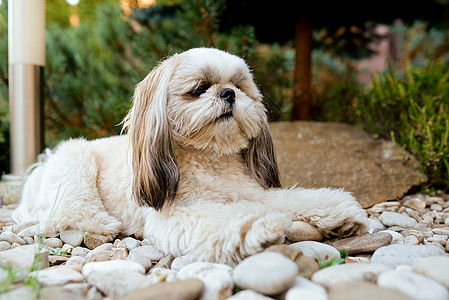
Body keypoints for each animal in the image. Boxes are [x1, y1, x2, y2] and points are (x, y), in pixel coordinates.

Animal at [12, 48, 366, 264]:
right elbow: (227, 217)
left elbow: (292, 200)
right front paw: (256, 225)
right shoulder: (175, 215)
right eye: (199, 88)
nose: (228, 93)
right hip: (77, 160)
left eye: (240, 87)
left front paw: (337, 212)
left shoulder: (252, 191)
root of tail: (41, 166)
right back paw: (103, 224)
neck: (210, 159)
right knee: (69, 211)